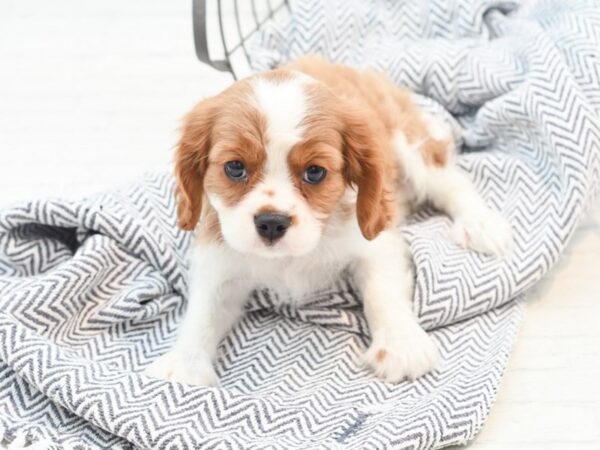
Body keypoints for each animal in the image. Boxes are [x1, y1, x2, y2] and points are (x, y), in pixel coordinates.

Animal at [145, 56, 510, 386]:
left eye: (315, 172)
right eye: (234, 167)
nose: (272, 222)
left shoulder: (375, 242)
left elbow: (382, 291)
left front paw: (401, 344)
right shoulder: (219, 256)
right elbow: (204, 309)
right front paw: (184, 365)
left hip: (408, 143)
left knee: (450, 182)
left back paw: (481, 224)